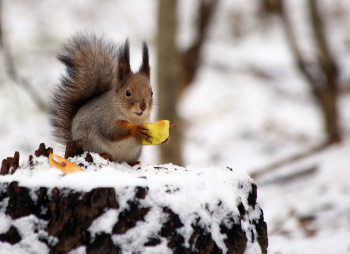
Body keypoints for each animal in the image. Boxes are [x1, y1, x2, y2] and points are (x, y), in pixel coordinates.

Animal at [49, 32, 153, 164]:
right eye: (128, 92)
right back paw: (105, 155)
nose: (143, 107)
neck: (133, 118)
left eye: (152, 93)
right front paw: (135, 129)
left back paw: (134, 162)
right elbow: (113, 131)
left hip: (134, 153)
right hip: (91, 141)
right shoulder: (106, 118)